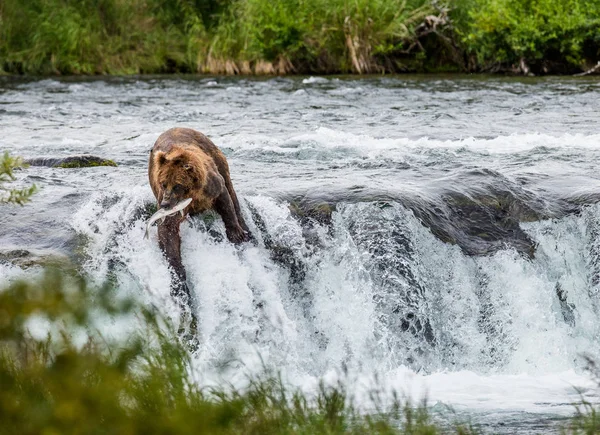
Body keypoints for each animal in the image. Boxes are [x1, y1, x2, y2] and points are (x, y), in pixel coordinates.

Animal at [148, 126, 251, 340]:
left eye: (176, 184)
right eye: (163, 183)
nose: (165, 203)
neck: (191, 195)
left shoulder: (210, 185)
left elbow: (225, 200)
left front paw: (236, 232)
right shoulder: (175, 209)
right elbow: (168, 232)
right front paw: (176, 268)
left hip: (215, 155)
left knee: (231, 188)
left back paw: (245, 228)